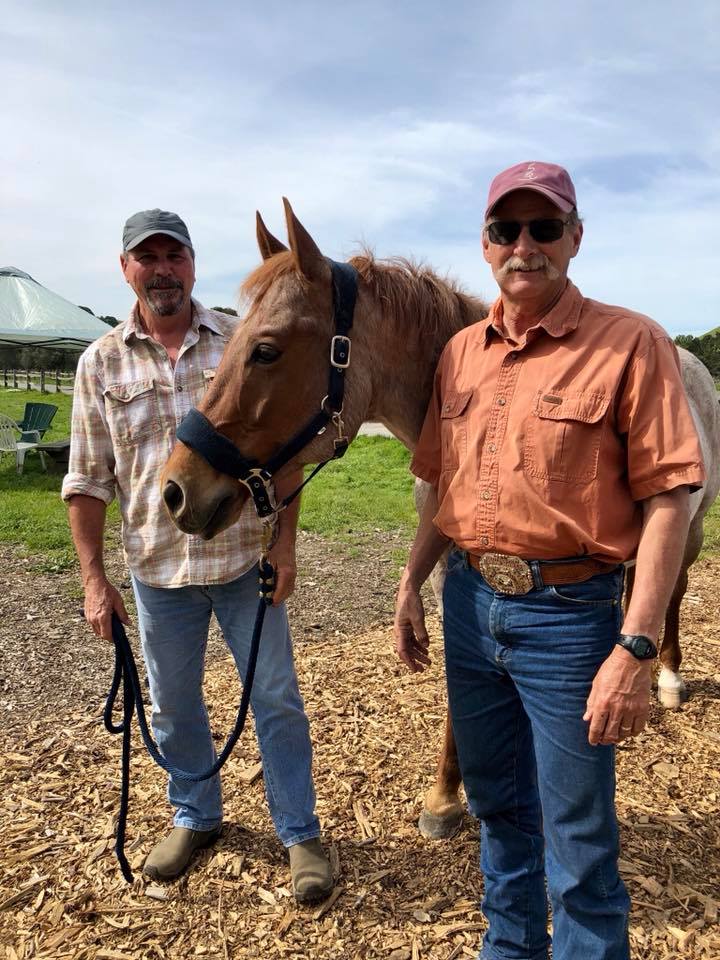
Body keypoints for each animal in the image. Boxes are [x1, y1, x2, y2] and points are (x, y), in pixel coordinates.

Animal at [161, 198, 720, 838]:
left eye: (266, 350)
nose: (175, 490)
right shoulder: (450, 571)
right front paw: (449, 791)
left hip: (690, 532)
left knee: (670, 592)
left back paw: (667, 678)